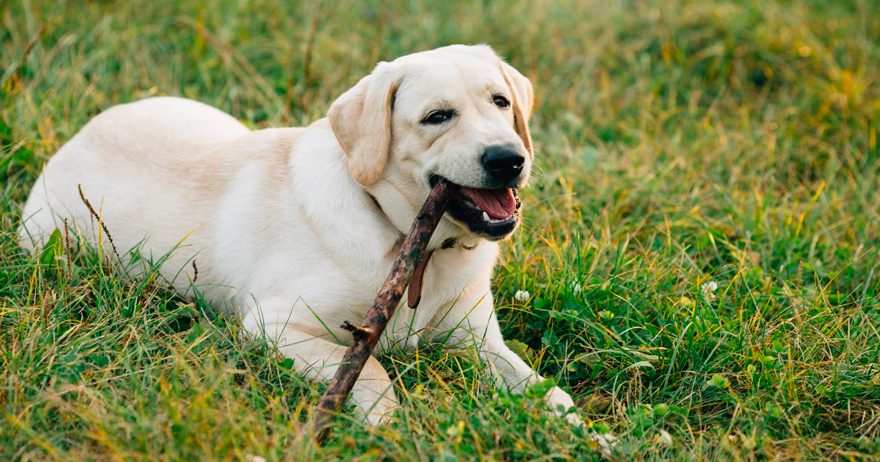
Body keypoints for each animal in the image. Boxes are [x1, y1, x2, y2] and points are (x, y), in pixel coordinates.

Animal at [18, 44, 604, 444]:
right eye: (437, 117)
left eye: (501, 102)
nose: (509, 158)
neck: (410, 245)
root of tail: (80, 132)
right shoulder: (274, 323)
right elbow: (371, 369)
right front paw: (385, 427)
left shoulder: (479, 342)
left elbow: (549, 390)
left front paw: (594, 437)